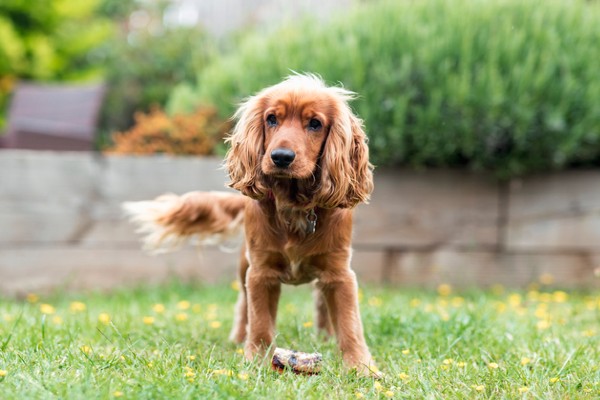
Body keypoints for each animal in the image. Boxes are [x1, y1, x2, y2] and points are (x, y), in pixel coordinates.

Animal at [124, 74, 378, 376]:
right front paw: (257, 361)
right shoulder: (260, 272)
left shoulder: (339, 273)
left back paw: (325, 336)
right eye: (272, 119)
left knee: (320, 301)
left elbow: (350, 324)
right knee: (243, 305)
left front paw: (361, 367)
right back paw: (237, 338)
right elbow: (259, 322)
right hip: (244, 263)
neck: (294, 206)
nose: (281, 157)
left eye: (315, 123)